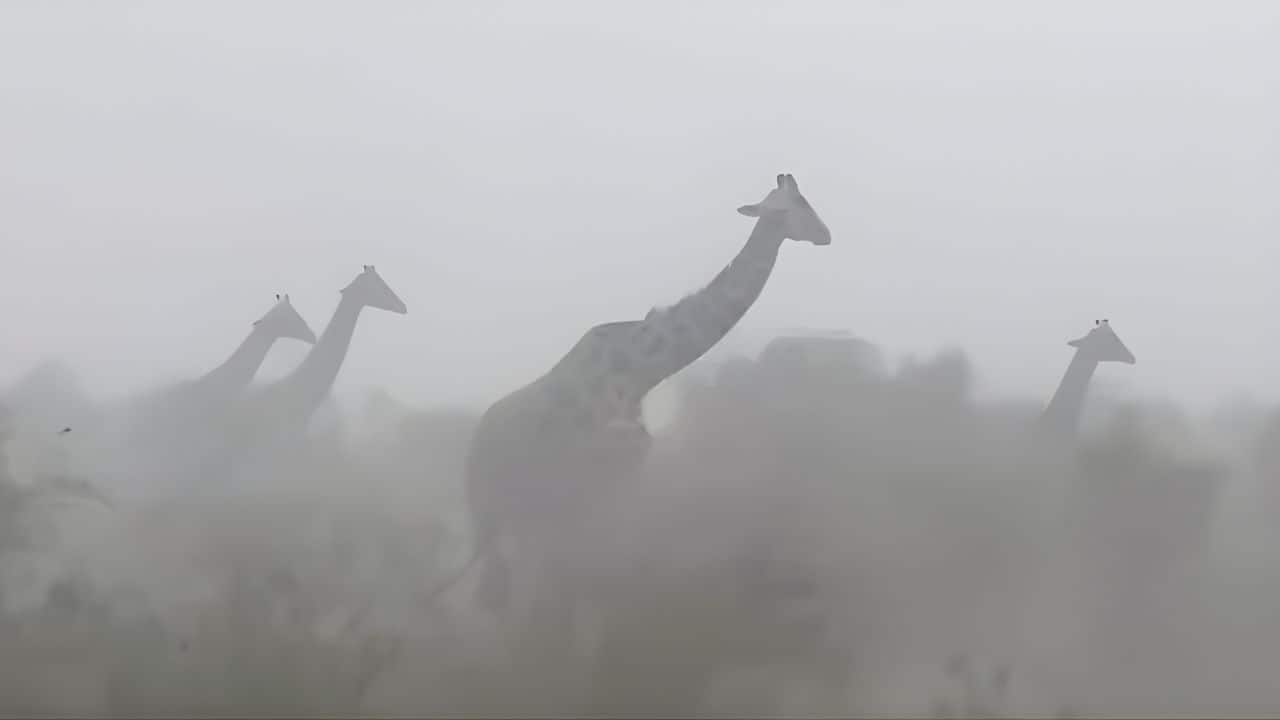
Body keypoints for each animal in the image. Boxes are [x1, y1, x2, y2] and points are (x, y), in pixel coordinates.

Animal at [431, 174, 832, 638]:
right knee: (495, 588)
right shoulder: (603, 476)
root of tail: (474, 446)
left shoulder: (614, 481)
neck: (642, 368)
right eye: (801, 203)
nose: (826, 234)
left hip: (515, 514)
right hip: (497, 510)